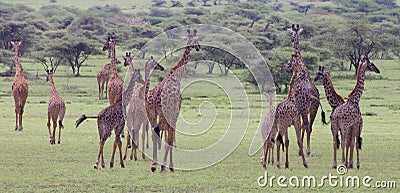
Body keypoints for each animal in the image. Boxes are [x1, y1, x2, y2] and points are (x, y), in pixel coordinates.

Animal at [145, 29, 200, 173]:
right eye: (196, 39)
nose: (199, 47)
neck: (177, 75)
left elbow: (168, 136)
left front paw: (164, 165)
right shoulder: (176, 110)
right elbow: (170, 137)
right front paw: (169, 165)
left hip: (152, 113)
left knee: (154, 131)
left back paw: (154, 164)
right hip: (165, 112)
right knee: (159, 131)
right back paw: (161, 165)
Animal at [284, 24, 322, 157]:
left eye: (291, 33)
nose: (291, 39)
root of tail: (312, 96)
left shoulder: (298, 107)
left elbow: (300, 126)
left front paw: (300, 149)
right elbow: (302, 126)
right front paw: (300, 148)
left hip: (305, 109)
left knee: (306, 125)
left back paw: (307, 150)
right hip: (314, 109)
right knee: (310, 126)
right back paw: (307, 150)